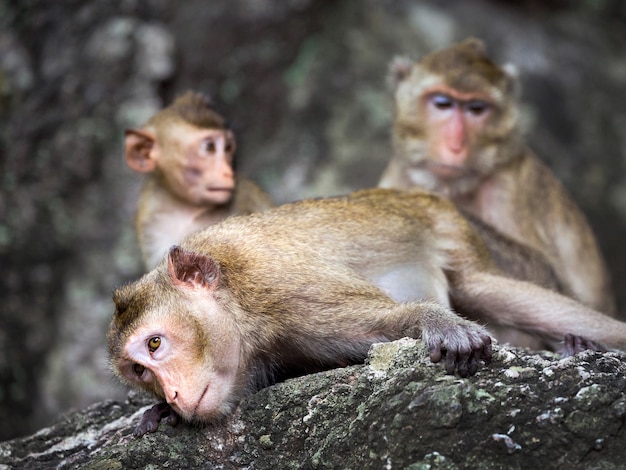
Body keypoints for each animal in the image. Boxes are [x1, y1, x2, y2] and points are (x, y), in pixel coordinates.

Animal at [107, 188, 624, 436]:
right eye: (139, 370)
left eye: (155, 343)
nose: (173, 394)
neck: (238, 301)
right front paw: (160, 414)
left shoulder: (288, 293)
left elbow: (388, 319)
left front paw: (438, 323)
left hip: (446, 228)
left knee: (484, 286)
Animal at [124, 90, 272, 270]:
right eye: (209, 147)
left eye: (228, 148)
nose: (227, 173)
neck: (186, 208)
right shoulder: (151, 220)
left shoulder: (245, 198)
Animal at [378, 37, 612, 320]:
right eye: (443, 103)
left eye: (477, 108)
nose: (456, 146)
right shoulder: (398, 171)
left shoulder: (507, 186)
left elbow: (547, 274)